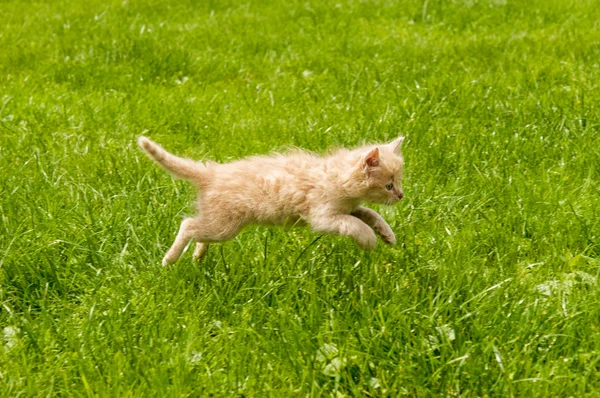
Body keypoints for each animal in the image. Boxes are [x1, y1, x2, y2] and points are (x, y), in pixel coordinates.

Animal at [138, 135, 406, 266]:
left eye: (399, 182)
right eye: (388, 185)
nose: (401, 195)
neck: (335, 175)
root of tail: (212, 173)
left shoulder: (351, 207)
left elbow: (369, 214)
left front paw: (387, 234)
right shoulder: (323, 217)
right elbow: (354, 224)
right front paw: (369, 240)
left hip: (217, 222)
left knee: (199, 232)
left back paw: (198, 257)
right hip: (225, 226)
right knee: (189, 226)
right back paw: (169, 260)